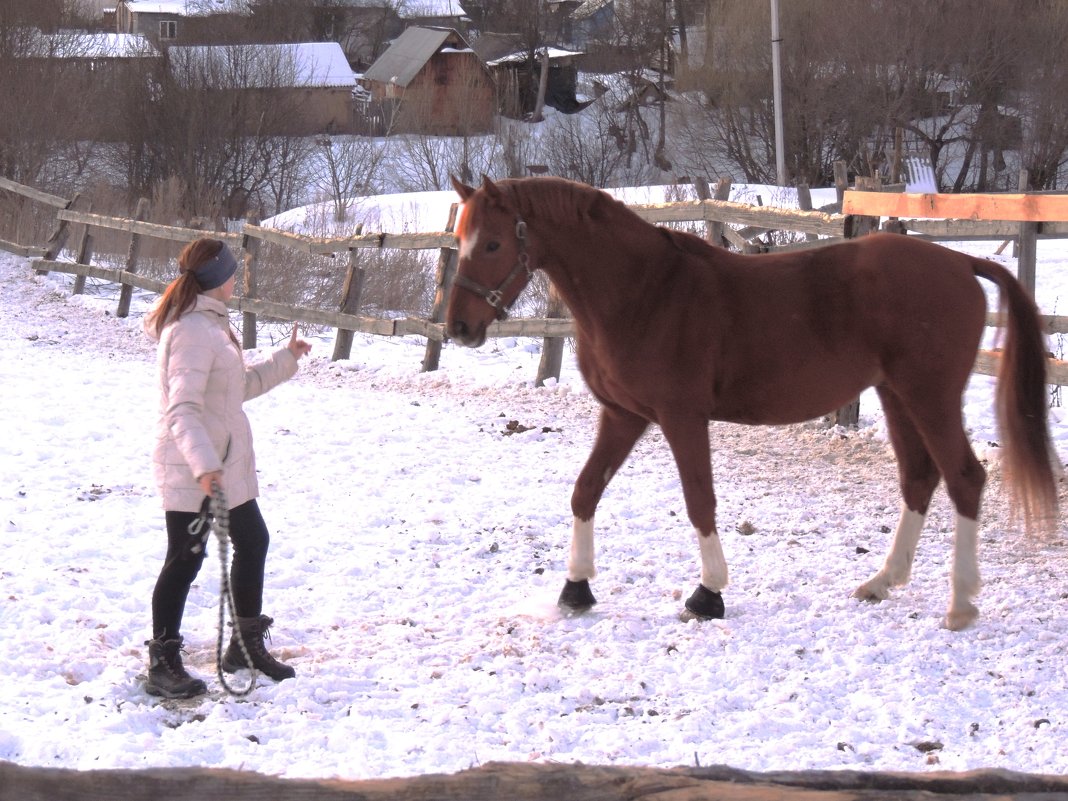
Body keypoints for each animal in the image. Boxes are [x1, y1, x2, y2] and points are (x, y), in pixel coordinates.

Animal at [444, 177, 1059, 632]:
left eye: (493, 243)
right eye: (461, 237)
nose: (459, 329)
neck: (644, 291)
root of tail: (959, 263)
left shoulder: (681, 418)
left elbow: (699, 502)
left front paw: (708, 594)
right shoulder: (624, 416)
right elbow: (585, 490)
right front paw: (575, 587)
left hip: (929, 395)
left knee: (964, 478)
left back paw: (961, 604)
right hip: (896, 395)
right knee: (919, 478)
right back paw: (882, 582)